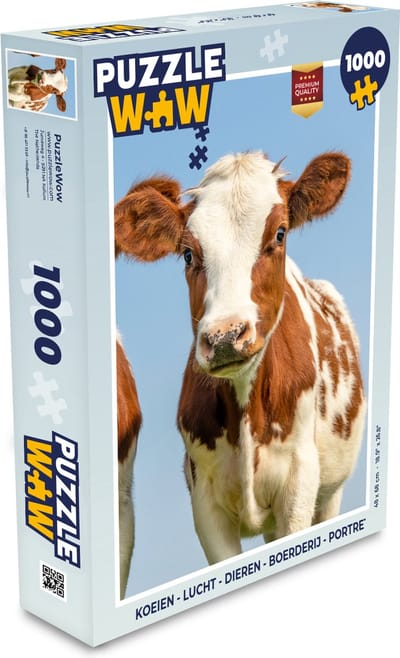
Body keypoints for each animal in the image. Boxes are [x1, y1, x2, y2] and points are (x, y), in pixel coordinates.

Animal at [114, 151, 366, 565]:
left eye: (279, 233)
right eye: (188, 253)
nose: (226, 337)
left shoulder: (299, 483)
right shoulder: (205, 500)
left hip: (330, 493)